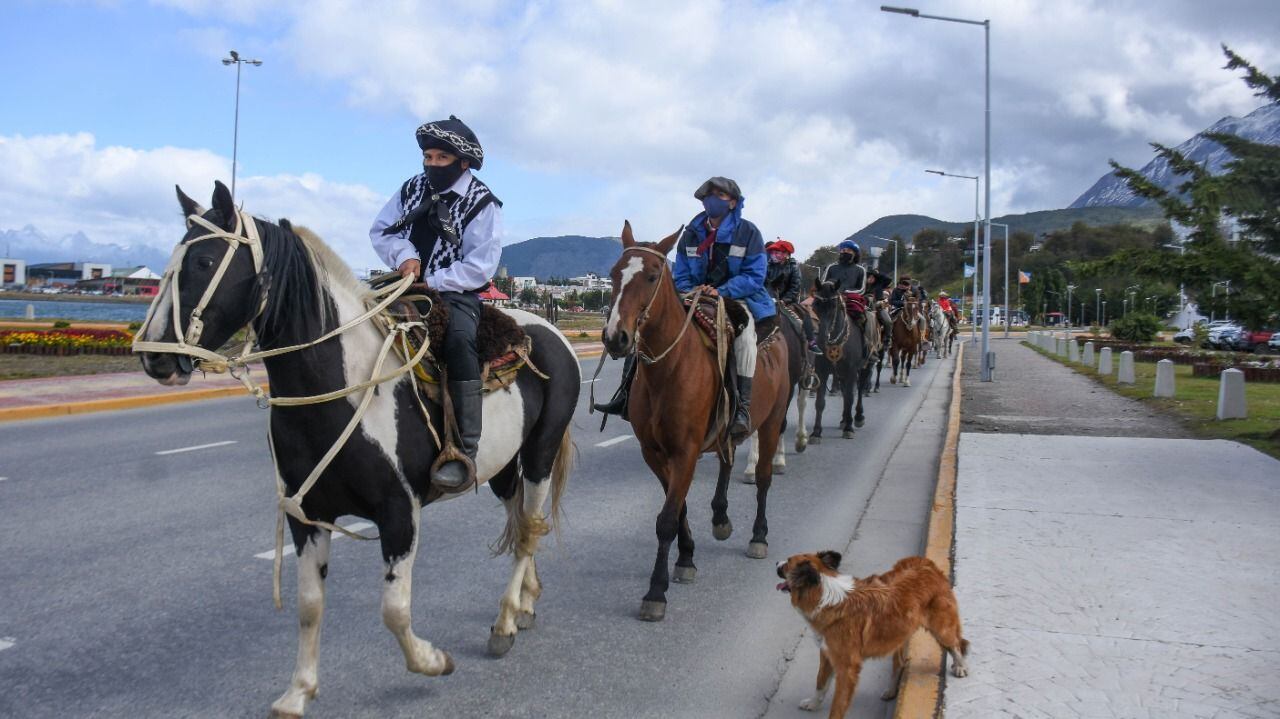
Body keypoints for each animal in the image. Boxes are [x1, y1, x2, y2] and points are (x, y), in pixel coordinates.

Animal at [140, 180, 581, 716]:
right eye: (172, 259)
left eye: (205, 262)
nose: (155, 357)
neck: (340, 389)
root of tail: (548, 332)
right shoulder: (307, 515)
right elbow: (310, 605)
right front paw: (298, 691)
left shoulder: (399, 512)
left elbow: (394, 610)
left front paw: (433, 660)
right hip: (499, 468)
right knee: (520, 522)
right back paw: (527, 601)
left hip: (539, 454)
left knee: (530, 528)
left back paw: (505, 621)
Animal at [599, 221, 788, 619]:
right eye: (613, 274)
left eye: (652, 276)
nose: (614, 338)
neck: (669, 370)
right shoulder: (655, 453)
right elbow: (679, 506)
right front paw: (686, 558)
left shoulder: (685, 451)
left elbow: (667, 518)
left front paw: (656, 591)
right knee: (727, 461)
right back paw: (721, 519)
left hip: (771, 421)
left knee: (763, 478)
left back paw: (758, 535)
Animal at [768, 550, 967, 711]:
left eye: (787, 562)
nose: (775, 562)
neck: (824, 593)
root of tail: (927, 563)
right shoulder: (827, 654)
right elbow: (820, 683)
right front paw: (814, 703)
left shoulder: (848, 667)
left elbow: (837, 702)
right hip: (899, 632)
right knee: (900, 662)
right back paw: (891, 690)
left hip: (941, 628)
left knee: (955, 645)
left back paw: (961, 666)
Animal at [808, 277, 870, 440]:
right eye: (815, 305)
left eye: (833, 306)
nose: (820, 338)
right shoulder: (822, 371)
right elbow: (820, 402)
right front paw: (816, 432)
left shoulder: (852, 371)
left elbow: (850, 397)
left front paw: (849, 428)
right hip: (840, 373)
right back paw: (844, 419)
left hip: (863, 367)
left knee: (858, 390)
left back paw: (857, 417)